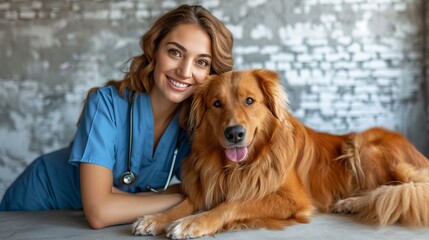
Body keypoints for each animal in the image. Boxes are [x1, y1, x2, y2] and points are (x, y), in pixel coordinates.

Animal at [132, 69, 428, 238]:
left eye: (249, 101)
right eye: (216, 104)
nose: (234, 134)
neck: (238, 167)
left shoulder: (293, 199)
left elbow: (234, 203)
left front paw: (194, 223)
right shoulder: (207, 186)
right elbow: (184, 203)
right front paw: (156, 218)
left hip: (363, 147)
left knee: (392, 188)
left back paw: (352, 203)